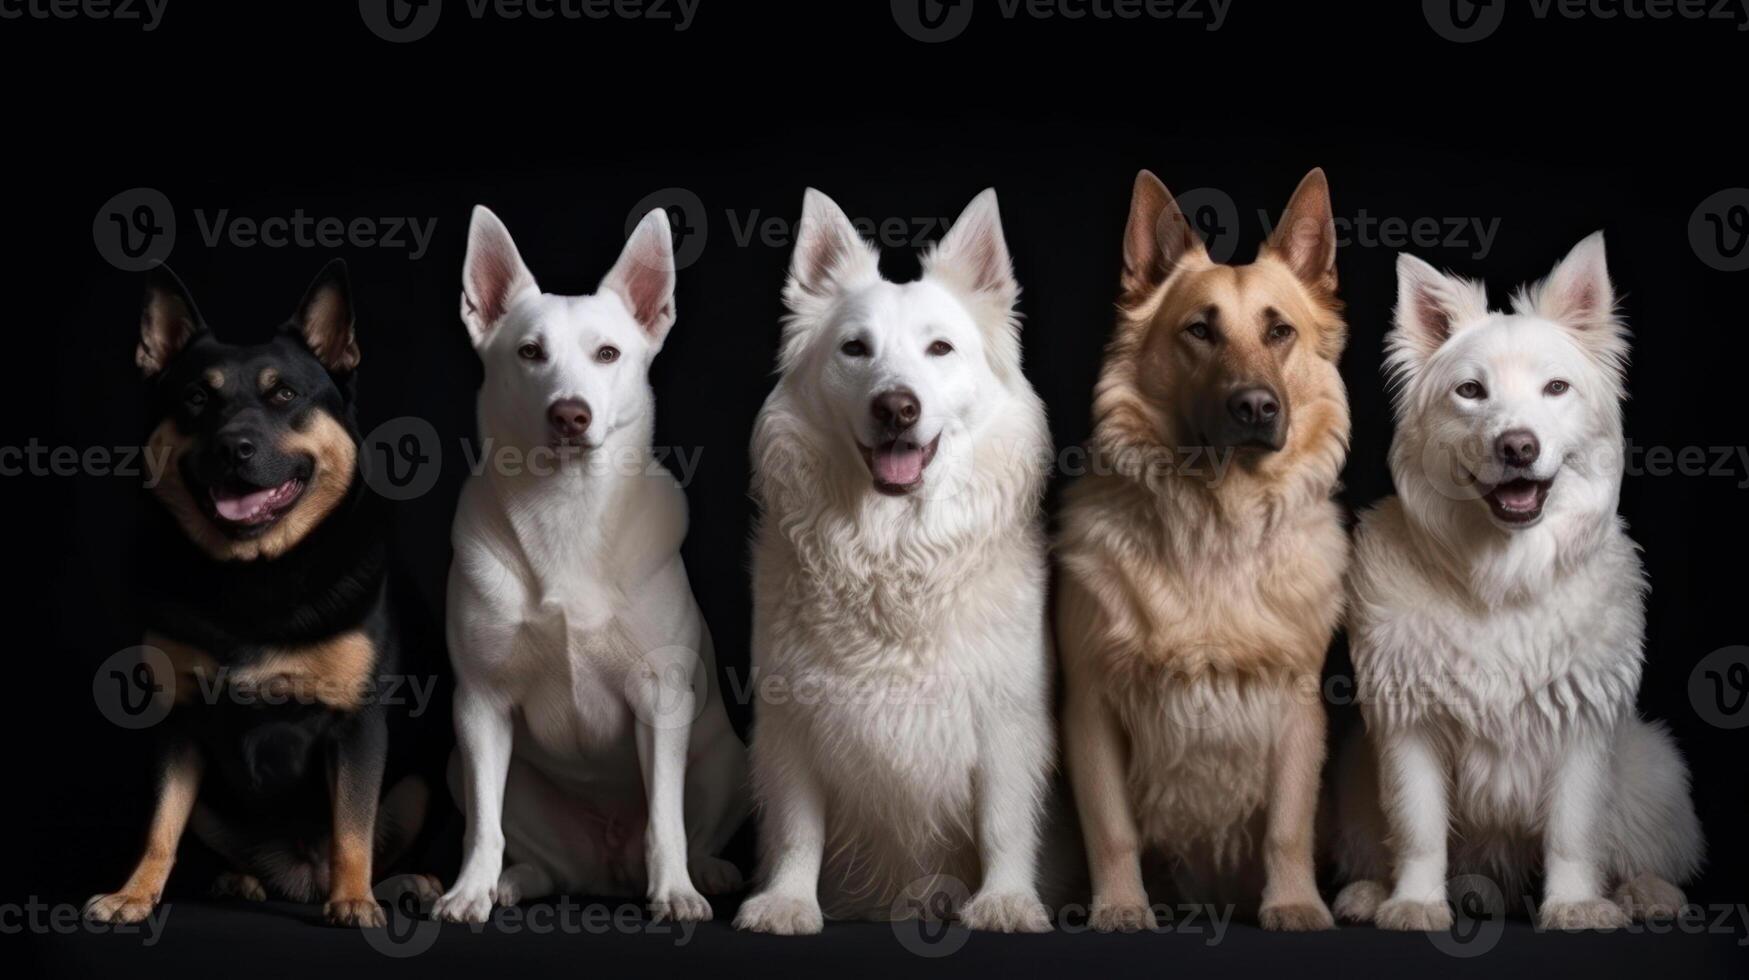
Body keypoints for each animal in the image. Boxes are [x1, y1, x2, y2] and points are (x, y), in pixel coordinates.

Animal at [85, 260, 433, 924]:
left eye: (285, 396)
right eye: (197, 398)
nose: (232, 448)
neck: (256, 571)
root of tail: (299, 876)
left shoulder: (357, 722)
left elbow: (353, 825)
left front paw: (354, 900)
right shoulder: (178, 723)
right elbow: (161, 825)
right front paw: (134, 894)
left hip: (422, 781)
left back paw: (408, 885)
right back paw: (238, 881)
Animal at [433, 206, 748, 924]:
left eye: (608, 354)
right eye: (529, 352)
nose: (569, 415)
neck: (566, 510)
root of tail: (606, 872)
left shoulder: (662, 700)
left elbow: (667, 820)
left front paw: (676, 892)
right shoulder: (480, 707)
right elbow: (482, 826)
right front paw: (470, 890)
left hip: (727, 756)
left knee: (693, 823)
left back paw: (707, 871)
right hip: (464, 768)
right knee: (535, 854)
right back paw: (514, 881)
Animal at [727, 189, 1049, 931]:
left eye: (940, 348)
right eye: (855, 348)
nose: (895, 407)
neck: (892, 552)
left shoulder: (1009, 720)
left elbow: (1003, 822)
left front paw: (1006, 900)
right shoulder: (790, 723)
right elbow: (798, 827)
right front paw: (788, 901)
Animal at [1049, 170, 1350, 931]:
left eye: (1279, 331)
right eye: (1199, 331)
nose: (1254, 407)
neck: (1218, 523)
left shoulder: (1299, 707)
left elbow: (1287, 827)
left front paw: (1294, 902)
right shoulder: (1091, 707)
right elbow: (1113, 830)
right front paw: (1121, 908)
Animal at [1329, 232, 1700, 931]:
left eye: (1556, 388)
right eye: (1470, 391)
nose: (1518, 447)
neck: (1502, 576)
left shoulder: (1583, 723)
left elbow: (1574, 831)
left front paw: (1576, 904)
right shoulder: (1408, 726)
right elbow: (1418, 828)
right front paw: (1414, 903)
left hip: (1655, 766)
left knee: (1641, 853)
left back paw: (1646, 893)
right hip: (1354, 776)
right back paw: (1376, 893)